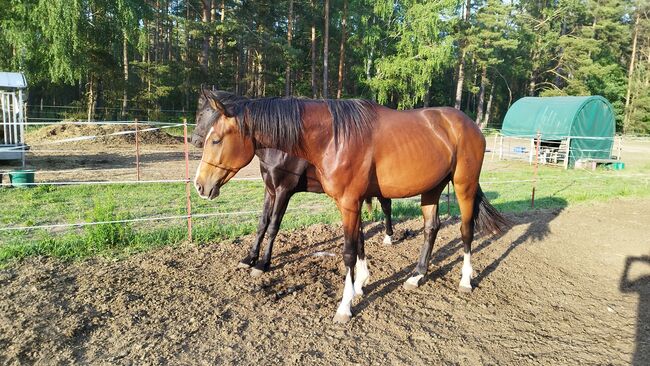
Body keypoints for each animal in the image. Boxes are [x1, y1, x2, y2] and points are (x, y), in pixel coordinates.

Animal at [190, 89, 392, 278]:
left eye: (202, 116)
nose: (194, 140)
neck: (279, 149)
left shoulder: (283, 191)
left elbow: (273, 226)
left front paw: (263, 263)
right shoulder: (270, 190)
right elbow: (262, 223)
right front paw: (250, 258)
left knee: (386, 206)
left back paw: (389, 237)